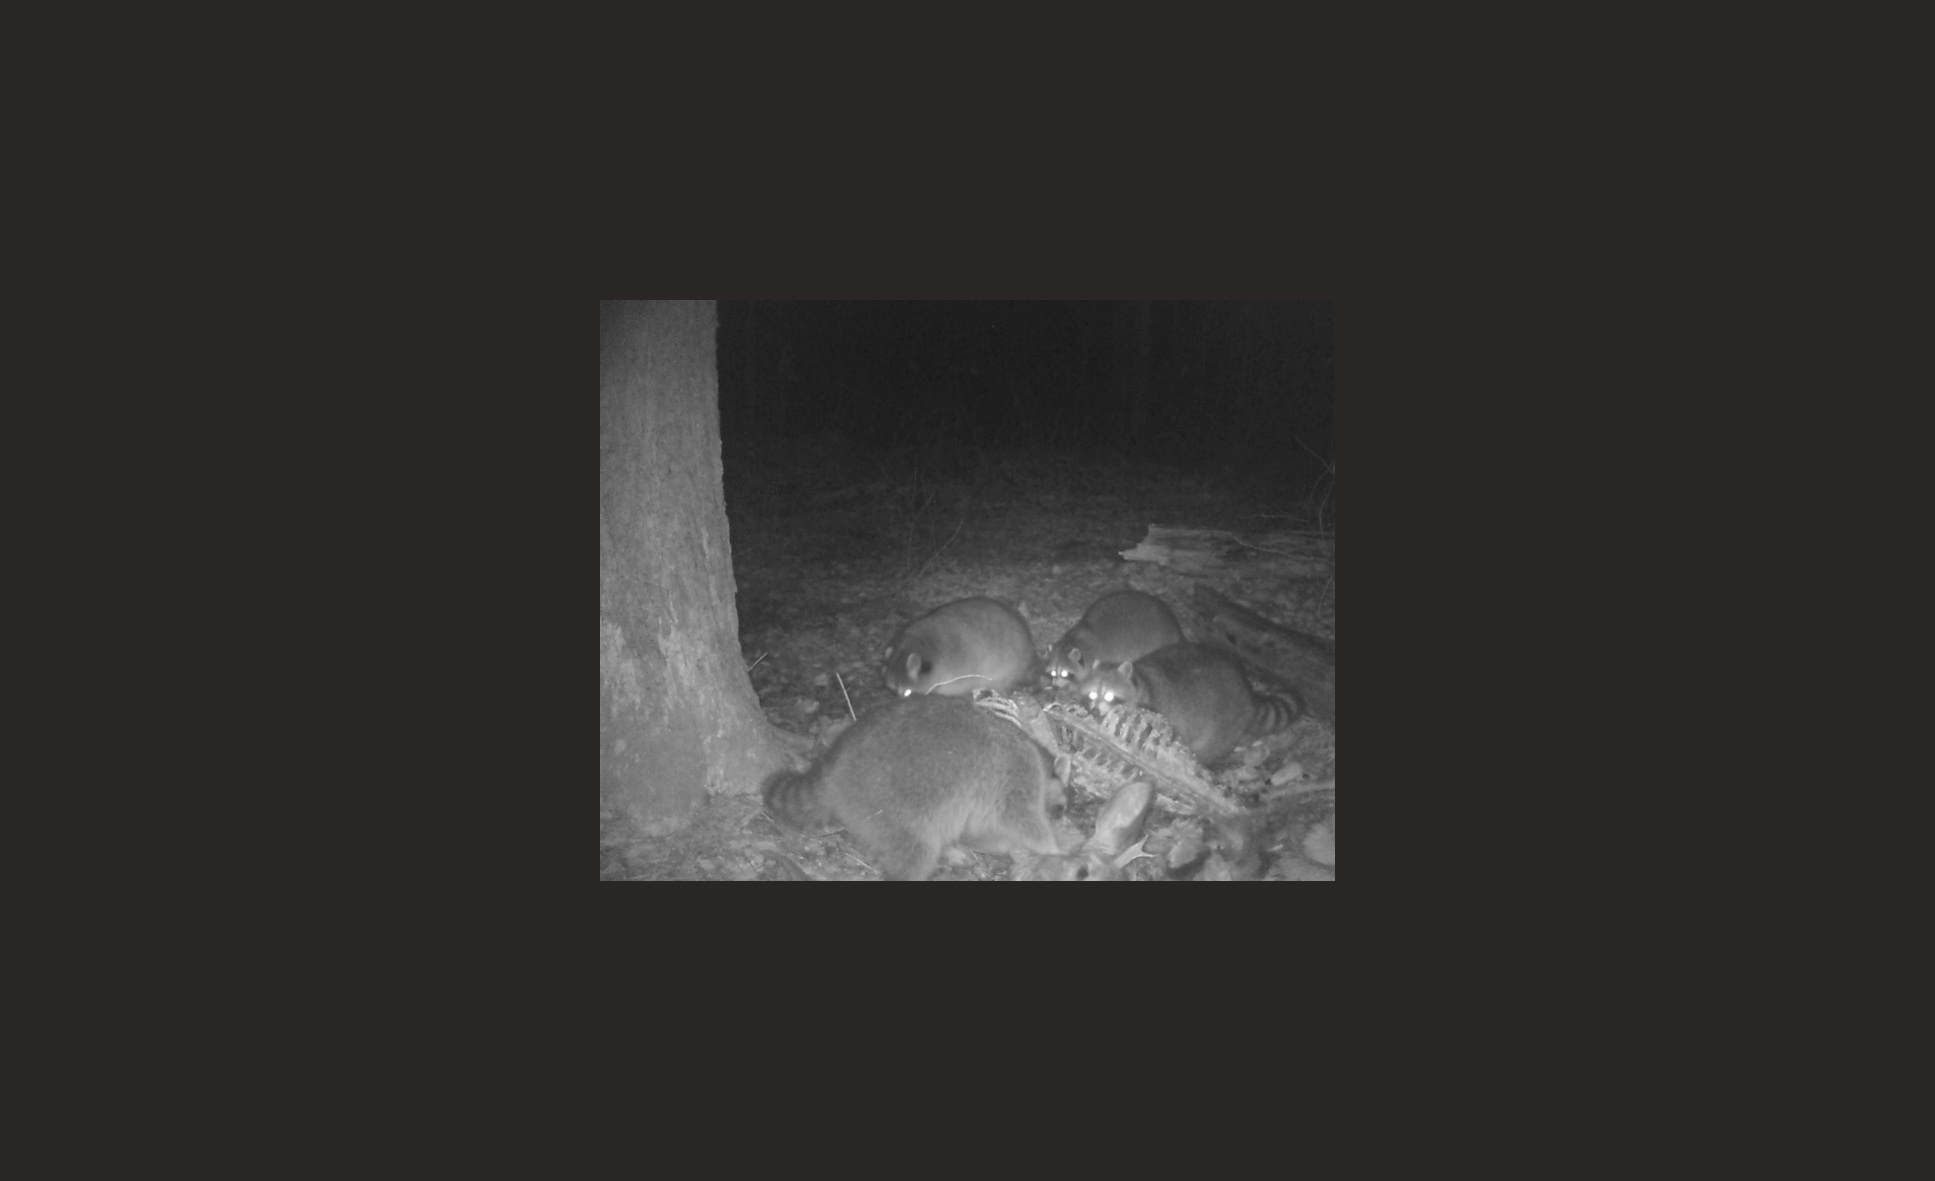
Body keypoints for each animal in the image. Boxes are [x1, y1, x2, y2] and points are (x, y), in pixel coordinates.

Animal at [1075, 642, 1300, 762]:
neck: (1139, 678)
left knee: (1208, 747)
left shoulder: (1154, 713)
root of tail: (1247, 691)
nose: (1095, 711)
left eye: (1110, 697)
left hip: (1225, 723)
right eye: (1092, 695)